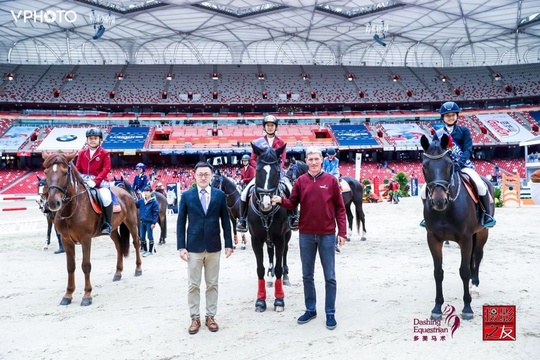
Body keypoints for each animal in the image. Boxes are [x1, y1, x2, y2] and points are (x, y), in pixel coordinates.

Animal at [42, 152, 142, 306]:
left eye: (64, 173)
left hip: (131, 222)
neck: (71, 208)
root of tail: (125, 191)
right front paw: (68, 295)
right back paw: (118, 273)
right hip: (112, 230)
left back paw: (138, 269)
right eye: (46, 172)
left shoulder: (85, 239)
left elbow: (86, 265)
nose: (53, 203)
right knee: (119, 245)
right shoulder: (66, 240)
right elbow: (70, 267)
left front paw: (87, 296)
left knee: (136, 242)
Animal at [249, 143, 292, 312]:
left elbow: (279, 266)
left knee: (285, 253)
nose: (267, 203)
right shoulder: (255, 240)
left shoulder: (280, 238)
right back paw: (269, 274)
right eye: (258, 170)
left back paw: (285, 276)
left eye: (277, 172)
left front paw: (279, 300)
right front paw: (260, 301)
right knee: (270, 253)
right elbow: (259, 269)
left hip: (287, 235)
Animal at [422, 135, 494, 320]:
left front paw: (467, 308)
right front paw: (437, 308)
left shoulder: (465, 239)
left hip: (482, 232)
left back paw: (475, 287)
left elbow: (464, 271)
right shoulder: (433, 239)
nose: (439, 201)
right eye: (425, 166)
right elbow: (438, 272)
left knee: (478, 256)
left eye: (449, 164)